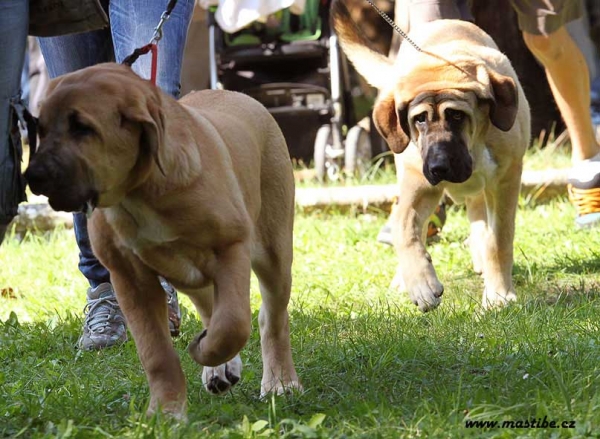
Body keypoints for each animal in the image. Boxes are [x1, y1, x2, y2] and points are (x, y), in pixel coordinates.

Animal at [26, 64, 302, 420]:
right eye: (41, 129)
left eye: (83, 128)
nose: (33, 176)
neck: (140, 192)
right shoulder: (130, 280)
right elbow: (157, 354)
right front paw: (166, 413)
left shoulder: (231, 249)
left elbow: (233, 323)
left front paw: (205, 352)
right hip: (189, 273)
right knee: (210, 306)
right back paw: (221, 370)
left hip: (273, 251)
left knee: (272, 317)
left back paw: (280, 382)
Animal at [332, 3, 528, 312]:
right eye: (419, 119)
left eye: (457, 116)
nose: (439, 166)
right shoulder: (419, 184)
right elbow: (404, 228)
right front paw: (421, 284)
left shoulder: (505, 181)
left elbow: (499, 240)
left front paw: (498, 294)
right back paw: (404, 278)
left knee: (480, 218)